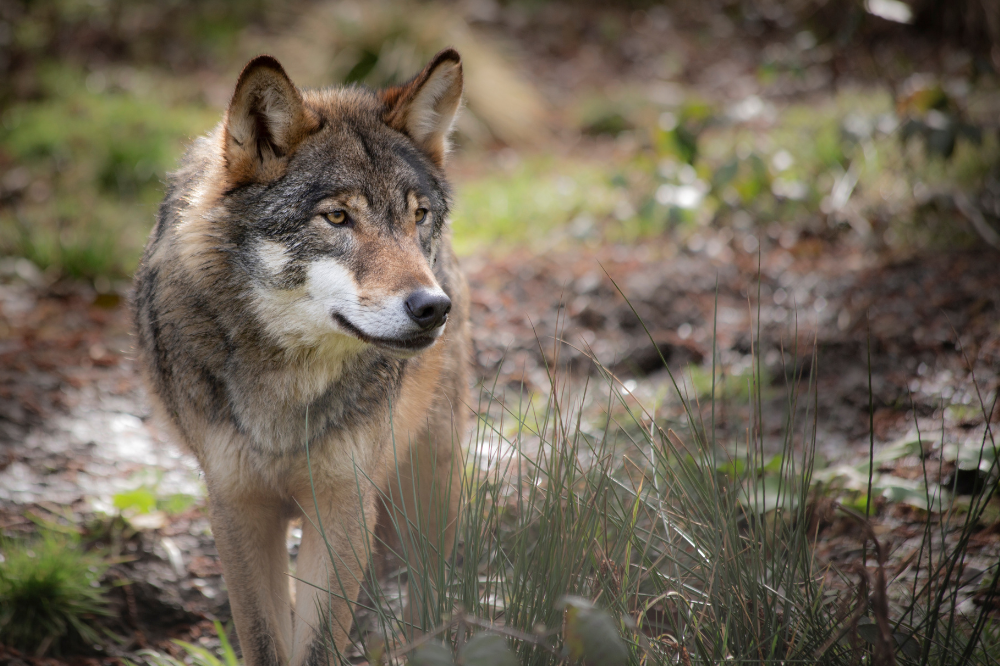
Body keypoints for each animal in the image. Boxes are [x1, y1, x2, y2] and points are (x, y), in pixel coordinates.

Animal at [132, 49, 469, 666]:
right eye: (337, 218)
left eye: (418, 215)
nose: (433, 307)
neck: (286, 387)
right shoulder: (237, 508)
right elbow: (267, 640)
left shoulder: (343, 506)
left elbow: (319, 645)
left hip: (430, 487)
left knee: (427, 602)